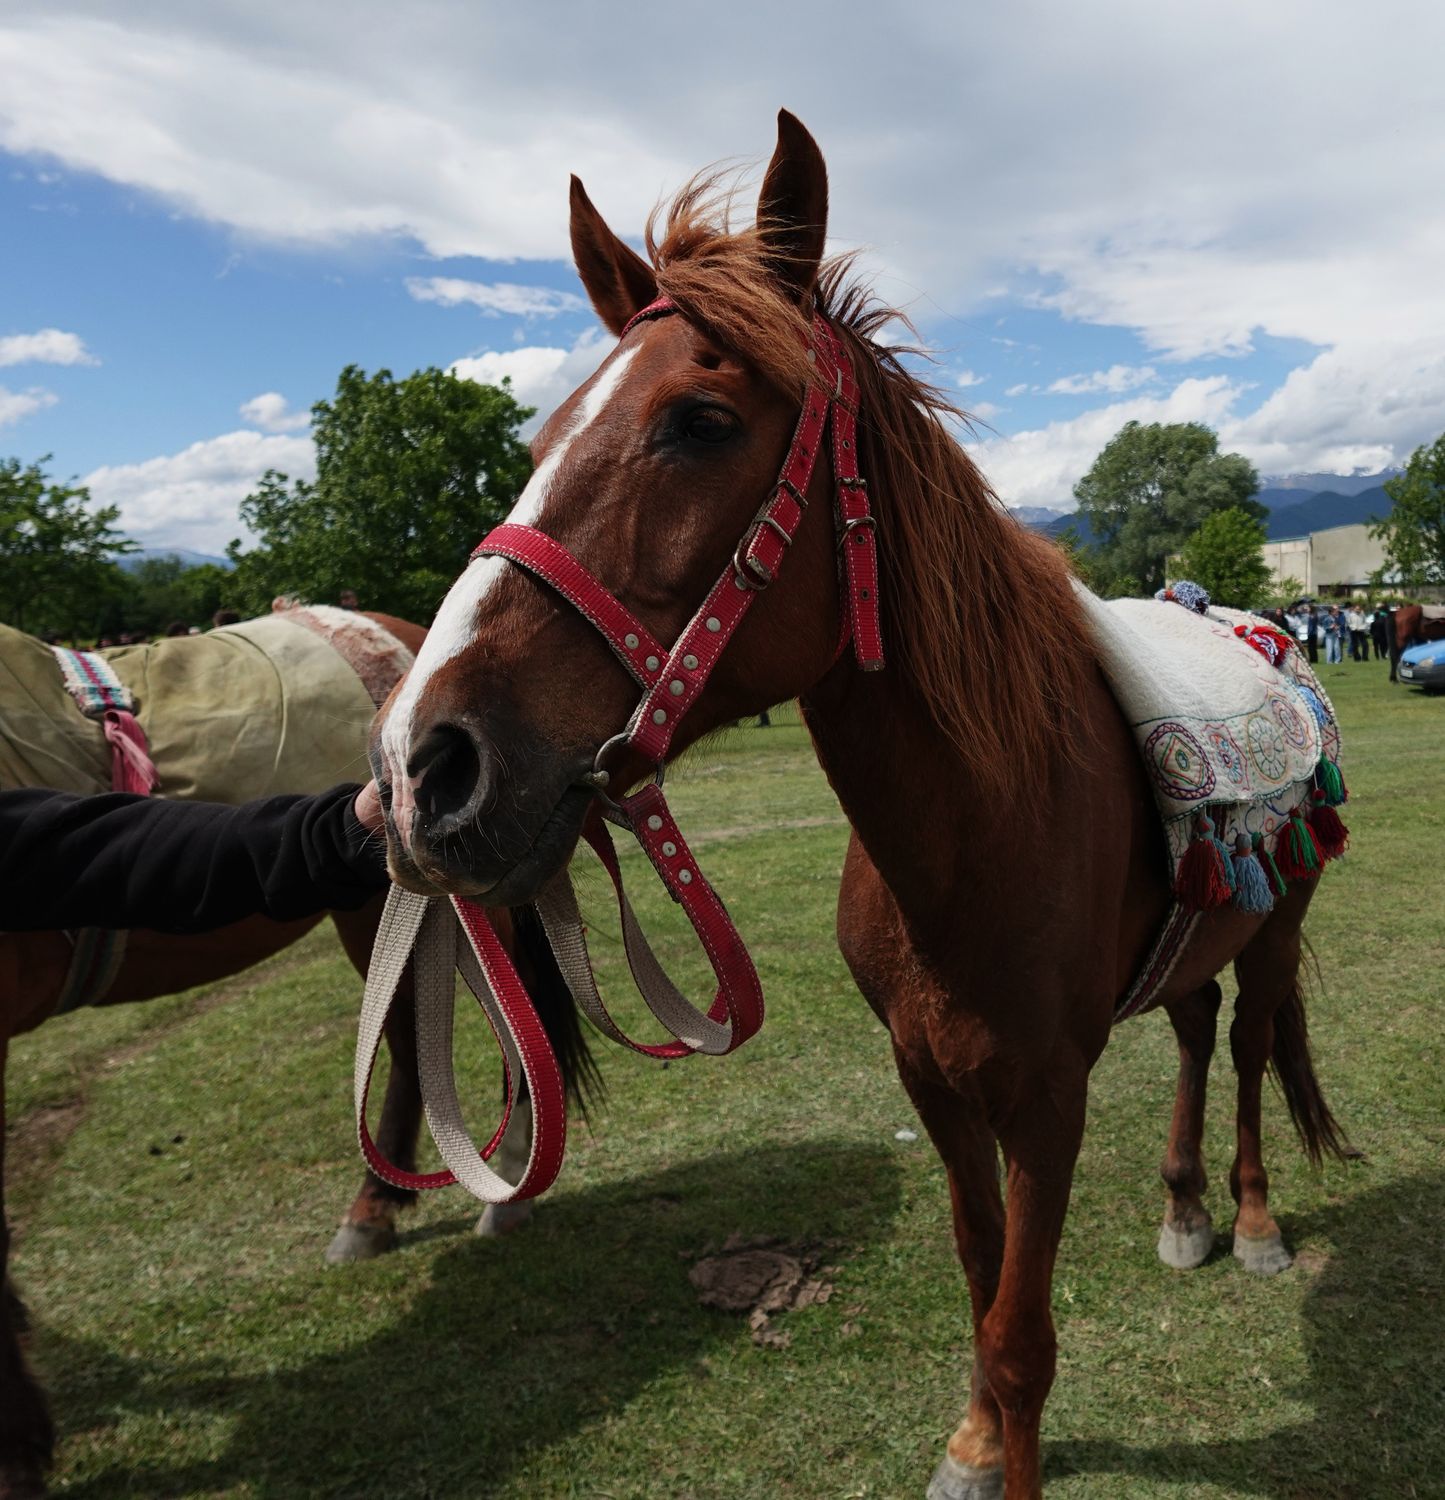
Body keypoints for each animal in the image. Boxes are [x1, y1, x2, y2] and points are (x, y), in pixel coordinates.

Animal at [367, 112, 1348, 1499]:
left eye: (700, 420)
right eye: (541, 441)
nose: (420, 766)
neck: (973, 838)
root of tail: (1260, 633)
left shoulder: (1045, 1097)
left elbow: (1022, 1336)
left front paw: (1005, 1448)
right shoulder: (929, 1081)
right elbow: (978, 1282)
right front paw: (972, 1446)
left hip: (1270, 932)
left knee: (1255, 1044)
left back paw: (1251, 1220)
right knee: (1198, 1028)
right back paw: (1182, 1207)